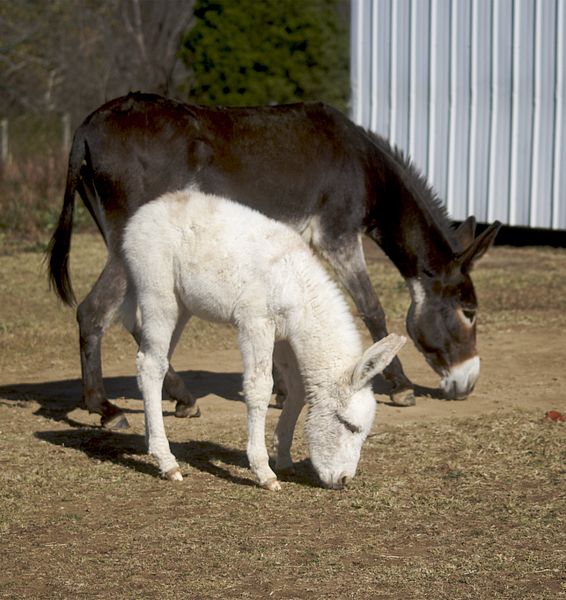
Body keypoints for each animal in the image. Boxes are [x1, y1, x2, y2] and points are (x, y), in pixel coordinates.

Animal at [124, 190, 408, 490]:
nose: (342, 480)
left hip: (182, 308)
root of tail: (152, 207)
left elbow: (297, 389)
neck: (296, 283)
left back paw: (152, 443)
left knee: (153, 362)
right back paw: (167, 462)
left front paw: (283, 459)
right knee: (151, 365)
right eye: (349, 426)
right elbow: (259, 387)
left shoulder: (284, 335)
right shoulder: (256, 323)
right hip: (158, 296)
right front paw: (264, 471)